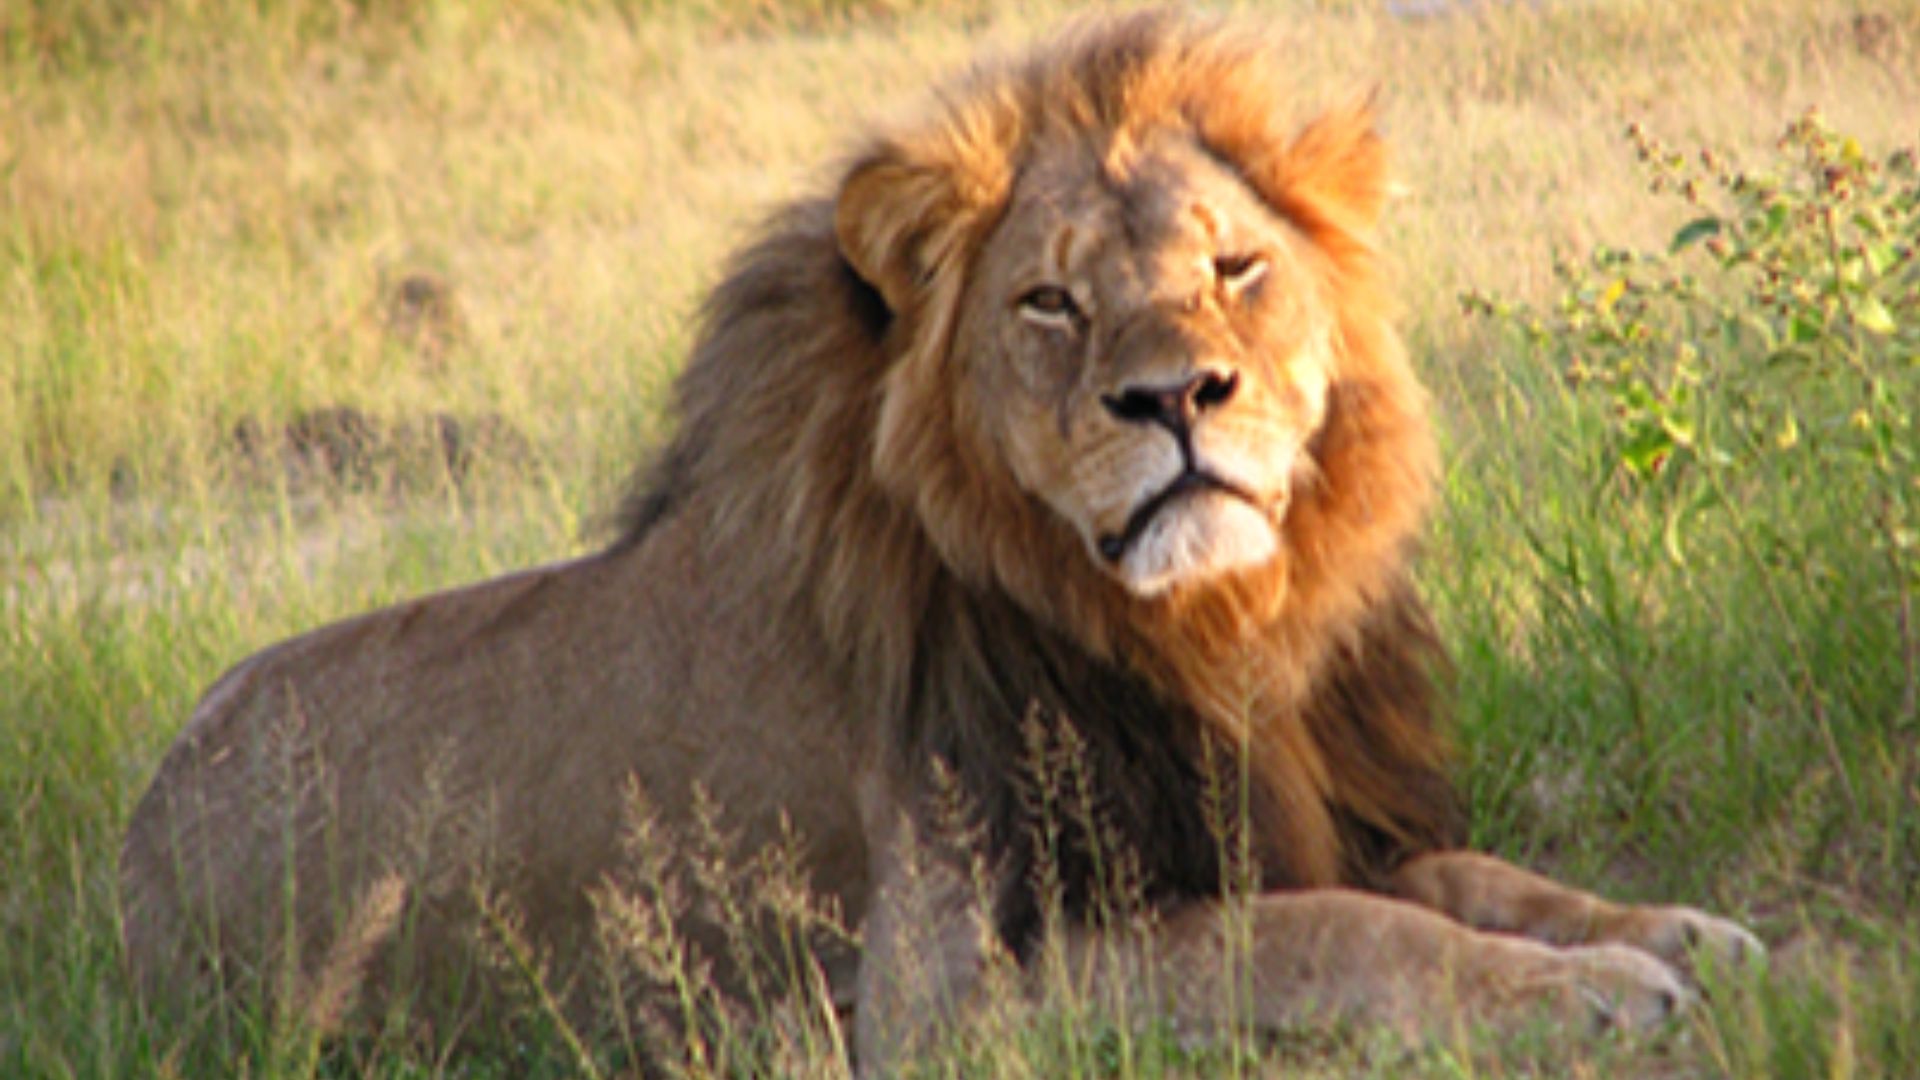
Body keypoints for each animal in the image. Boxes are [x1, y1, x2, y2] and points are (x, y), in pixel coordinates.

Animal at [120, 9, 1762, 1067]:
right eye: (1050, 302)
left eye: (1236, 268)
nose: (1177, 397)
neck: (1197, 632)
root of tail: (132, 840)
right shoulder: (944, 990)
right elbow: (1336, 929)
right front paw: (1586, 992)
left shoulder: (1273, 803)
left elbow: (1469, 877)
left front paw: (1671, 932)